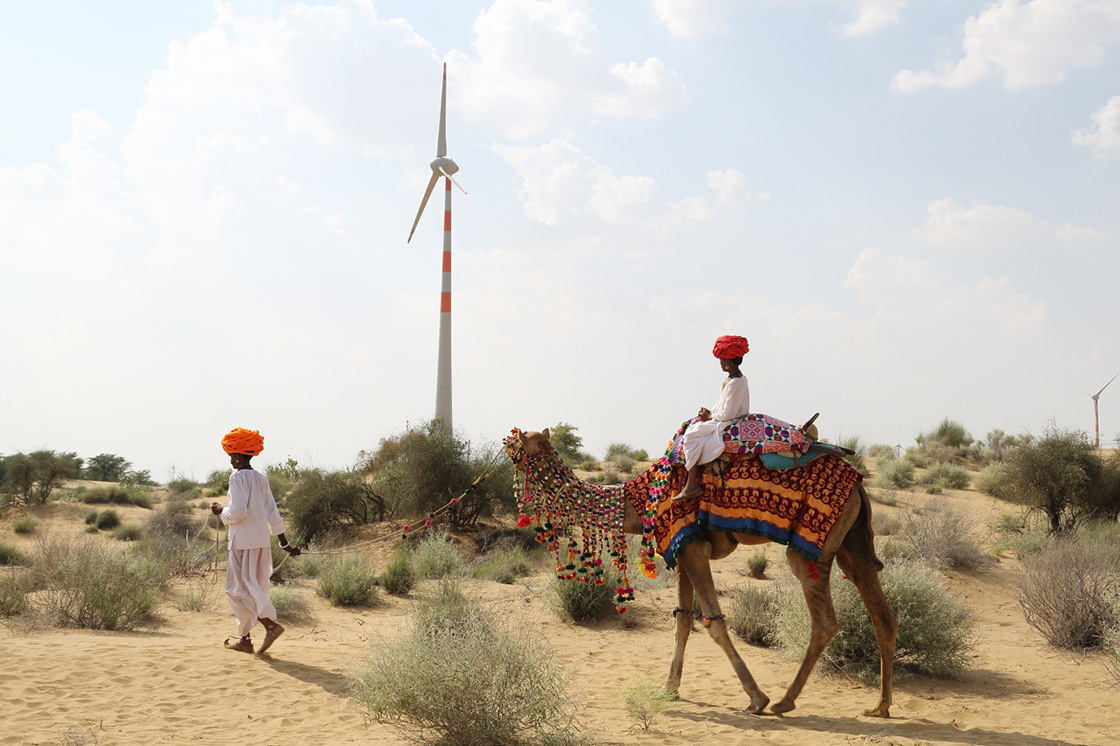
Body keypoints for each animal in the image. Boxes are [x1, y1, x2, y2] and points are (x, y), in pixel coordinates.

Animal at [508, 421, 900, 716]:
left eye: (525, 444)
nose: (506, 448)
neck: (639, 500)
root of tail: (860, 484)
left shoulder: (692, 547)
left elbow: (715, 623)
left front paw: (756, 699)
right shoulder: (682, 548)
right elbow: (682, 621)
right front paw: (669, 689)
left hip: (810, 548)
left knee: (825, 621)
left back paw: (785, 701)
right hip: (852, 542)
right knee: (882, 614)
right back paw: (879, 707)